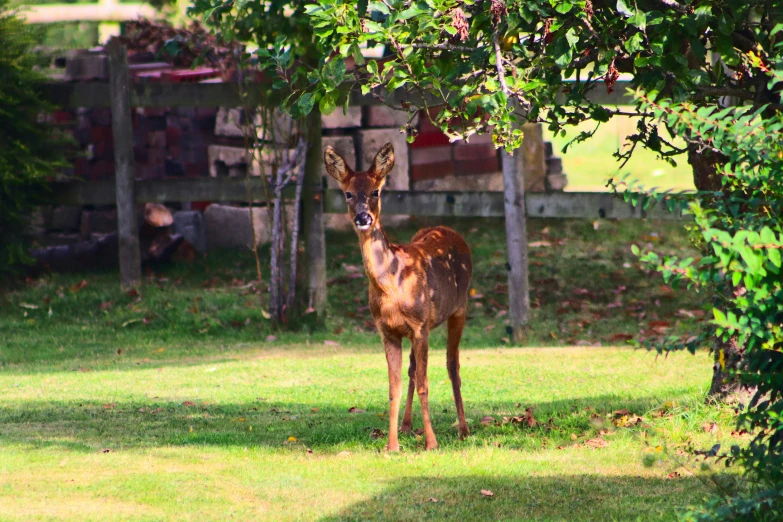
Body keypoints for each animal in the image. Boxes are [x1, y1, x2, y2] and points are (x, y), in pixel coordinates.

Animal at [324, 141, 472, 446]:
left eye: (376, 192)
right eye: (348, 193)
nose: (363, 217)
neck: (394, 286)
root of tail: (449, 230)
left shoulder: (421, 326)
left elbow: (426, 385)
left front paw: (431, 443)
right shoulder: (388, 330)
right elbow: (394, 387)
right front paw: (392, 445)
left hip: (460, 307)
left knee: (453, 366)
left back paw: (463, 429)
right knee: (414, 370)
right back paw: (406, 426)